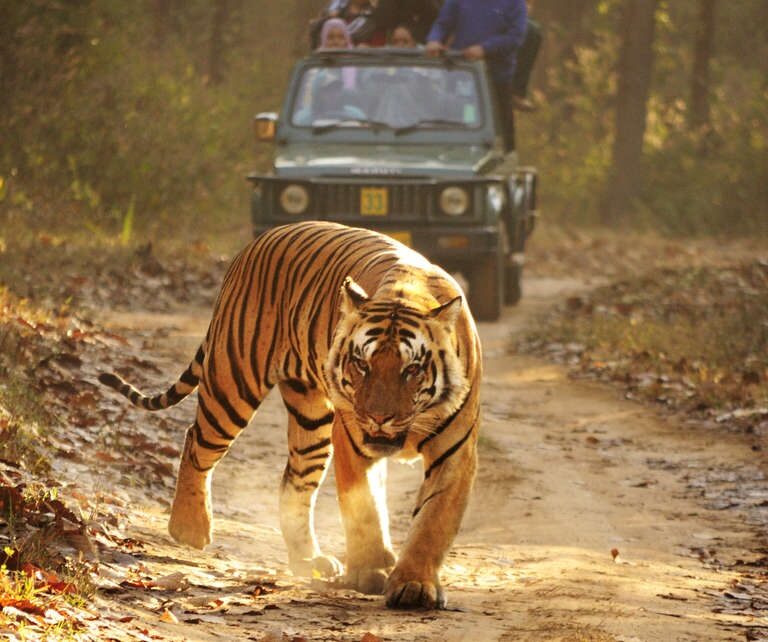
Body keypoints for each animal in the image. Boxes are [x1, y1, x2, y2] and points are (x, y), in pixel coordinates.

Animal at [99, 221, 481, 609]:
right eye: (362, 364)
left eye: (412, 370)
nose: (378, 417)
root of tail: (260, 239)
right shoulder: (352, 440)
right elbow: (364, 509)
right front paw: (369, 572)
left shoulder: (455, 451)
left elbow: (433, 520)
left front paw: (414, 584)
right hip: (233, 381)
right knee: (196, 441)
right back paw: (190, 528)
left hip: (311, 421)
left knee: (294, 483)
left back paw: (308, 559)